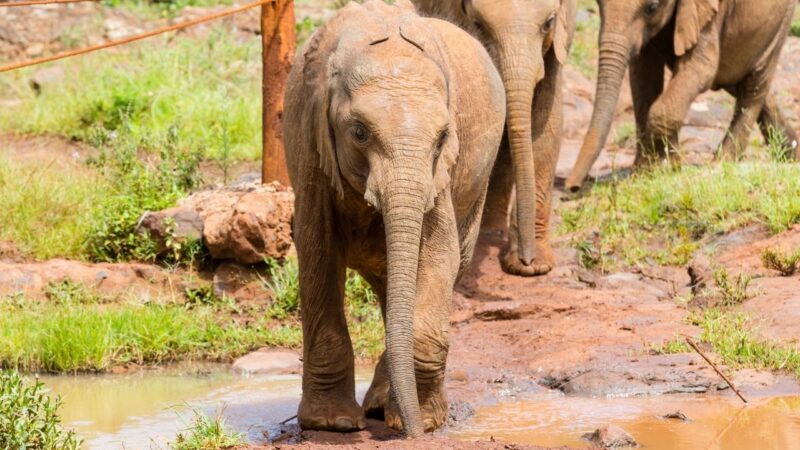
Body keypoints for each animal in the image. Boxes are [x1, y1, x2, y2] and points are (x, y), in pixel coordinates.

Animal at [283, 0, 506, 437]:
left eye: (442, 137)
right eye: (359, 132)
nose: (415, 436)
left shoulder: (439, 173)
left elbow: (439, 253)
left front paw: (425, 421)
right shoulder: (309, 143)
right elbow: (317, 250)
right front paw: (332, 423)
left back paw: (388, 408)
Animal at [566, 0, 799, 191]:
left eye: (652, 7)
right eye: (598, 3)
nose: (573, 187)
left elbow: (701, 69)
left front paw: (670, 167)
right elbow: (643, 74)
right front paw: (644, 173)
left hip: (781, 22)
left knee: (753, 85)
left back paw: (721, 165)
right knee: (738, 80)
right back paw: (791, 155)